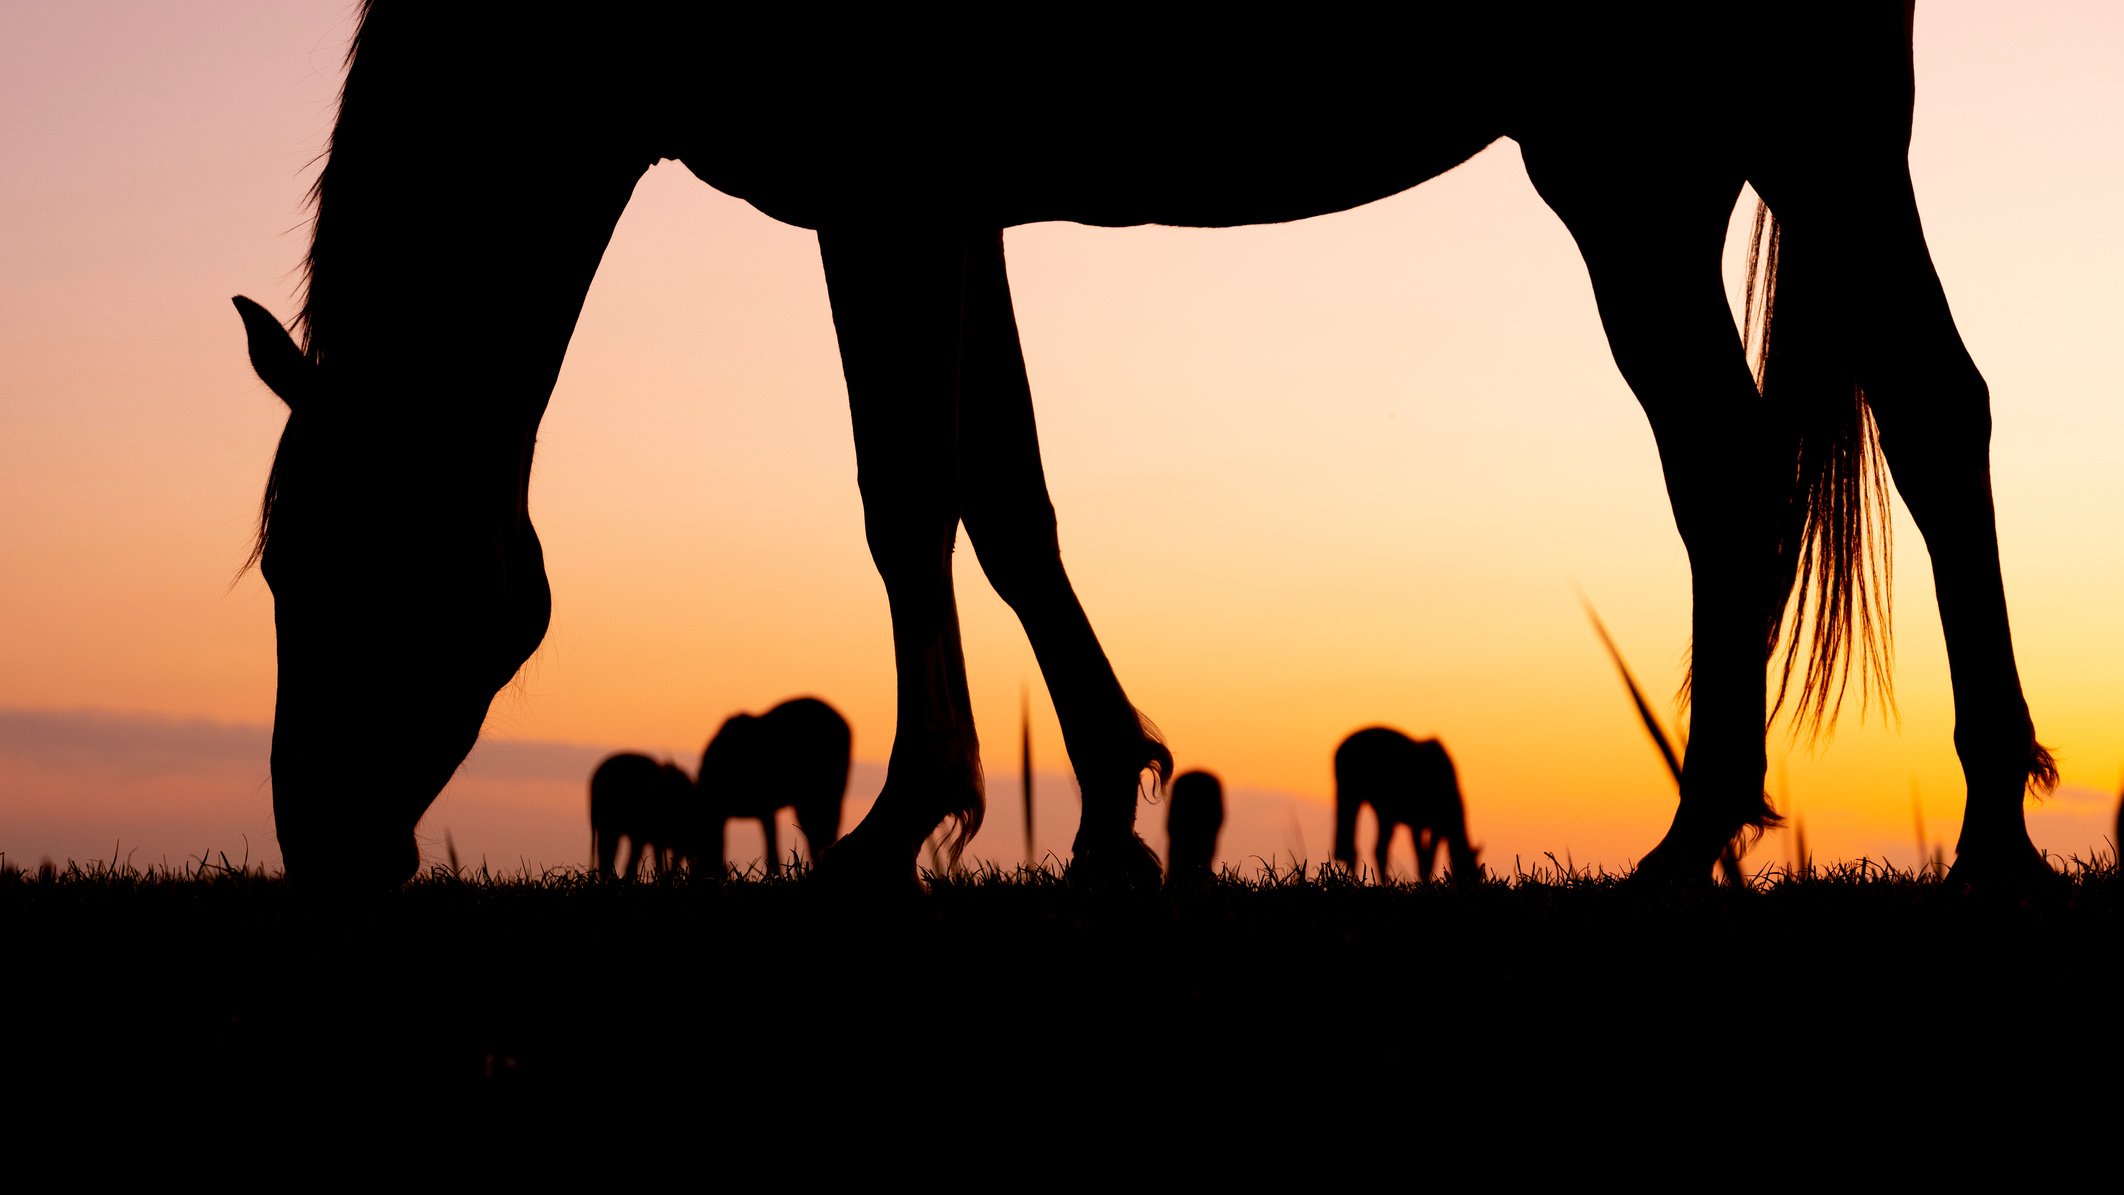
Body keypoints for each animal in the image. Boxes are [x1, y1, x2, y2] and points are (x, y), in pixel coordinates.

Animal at [1325, 725, 1478, 882]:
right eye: (1470, 871)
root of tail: (1340, 750)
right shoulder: (1425, 825)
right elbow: (1425, 856)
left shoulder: (1420, 826)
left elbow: (1423, 855)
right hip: (1377, 807)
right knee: (1376, 848)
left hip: (1350, 797)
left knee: (1354, 846)